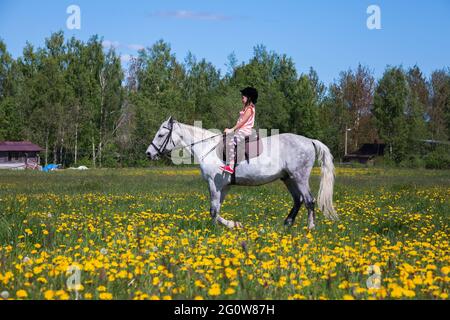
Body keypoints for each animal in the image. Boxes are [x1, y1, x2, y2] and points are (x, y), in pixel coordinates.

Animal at [147, 116, 338, 229]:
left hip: (300, 177)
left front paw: (221, 228)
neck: (208, 148)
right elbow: (216, 209)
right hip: (288, 178)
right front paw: (232, 225)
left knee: (309, 201)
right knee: (298, 200)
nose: (148, 153)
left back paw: (310, 228)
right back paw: (287, 224)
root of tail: (309, 141)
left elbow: (213, 210)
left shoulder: (214, 184)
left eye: (161, 135)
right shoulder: (223, 186)